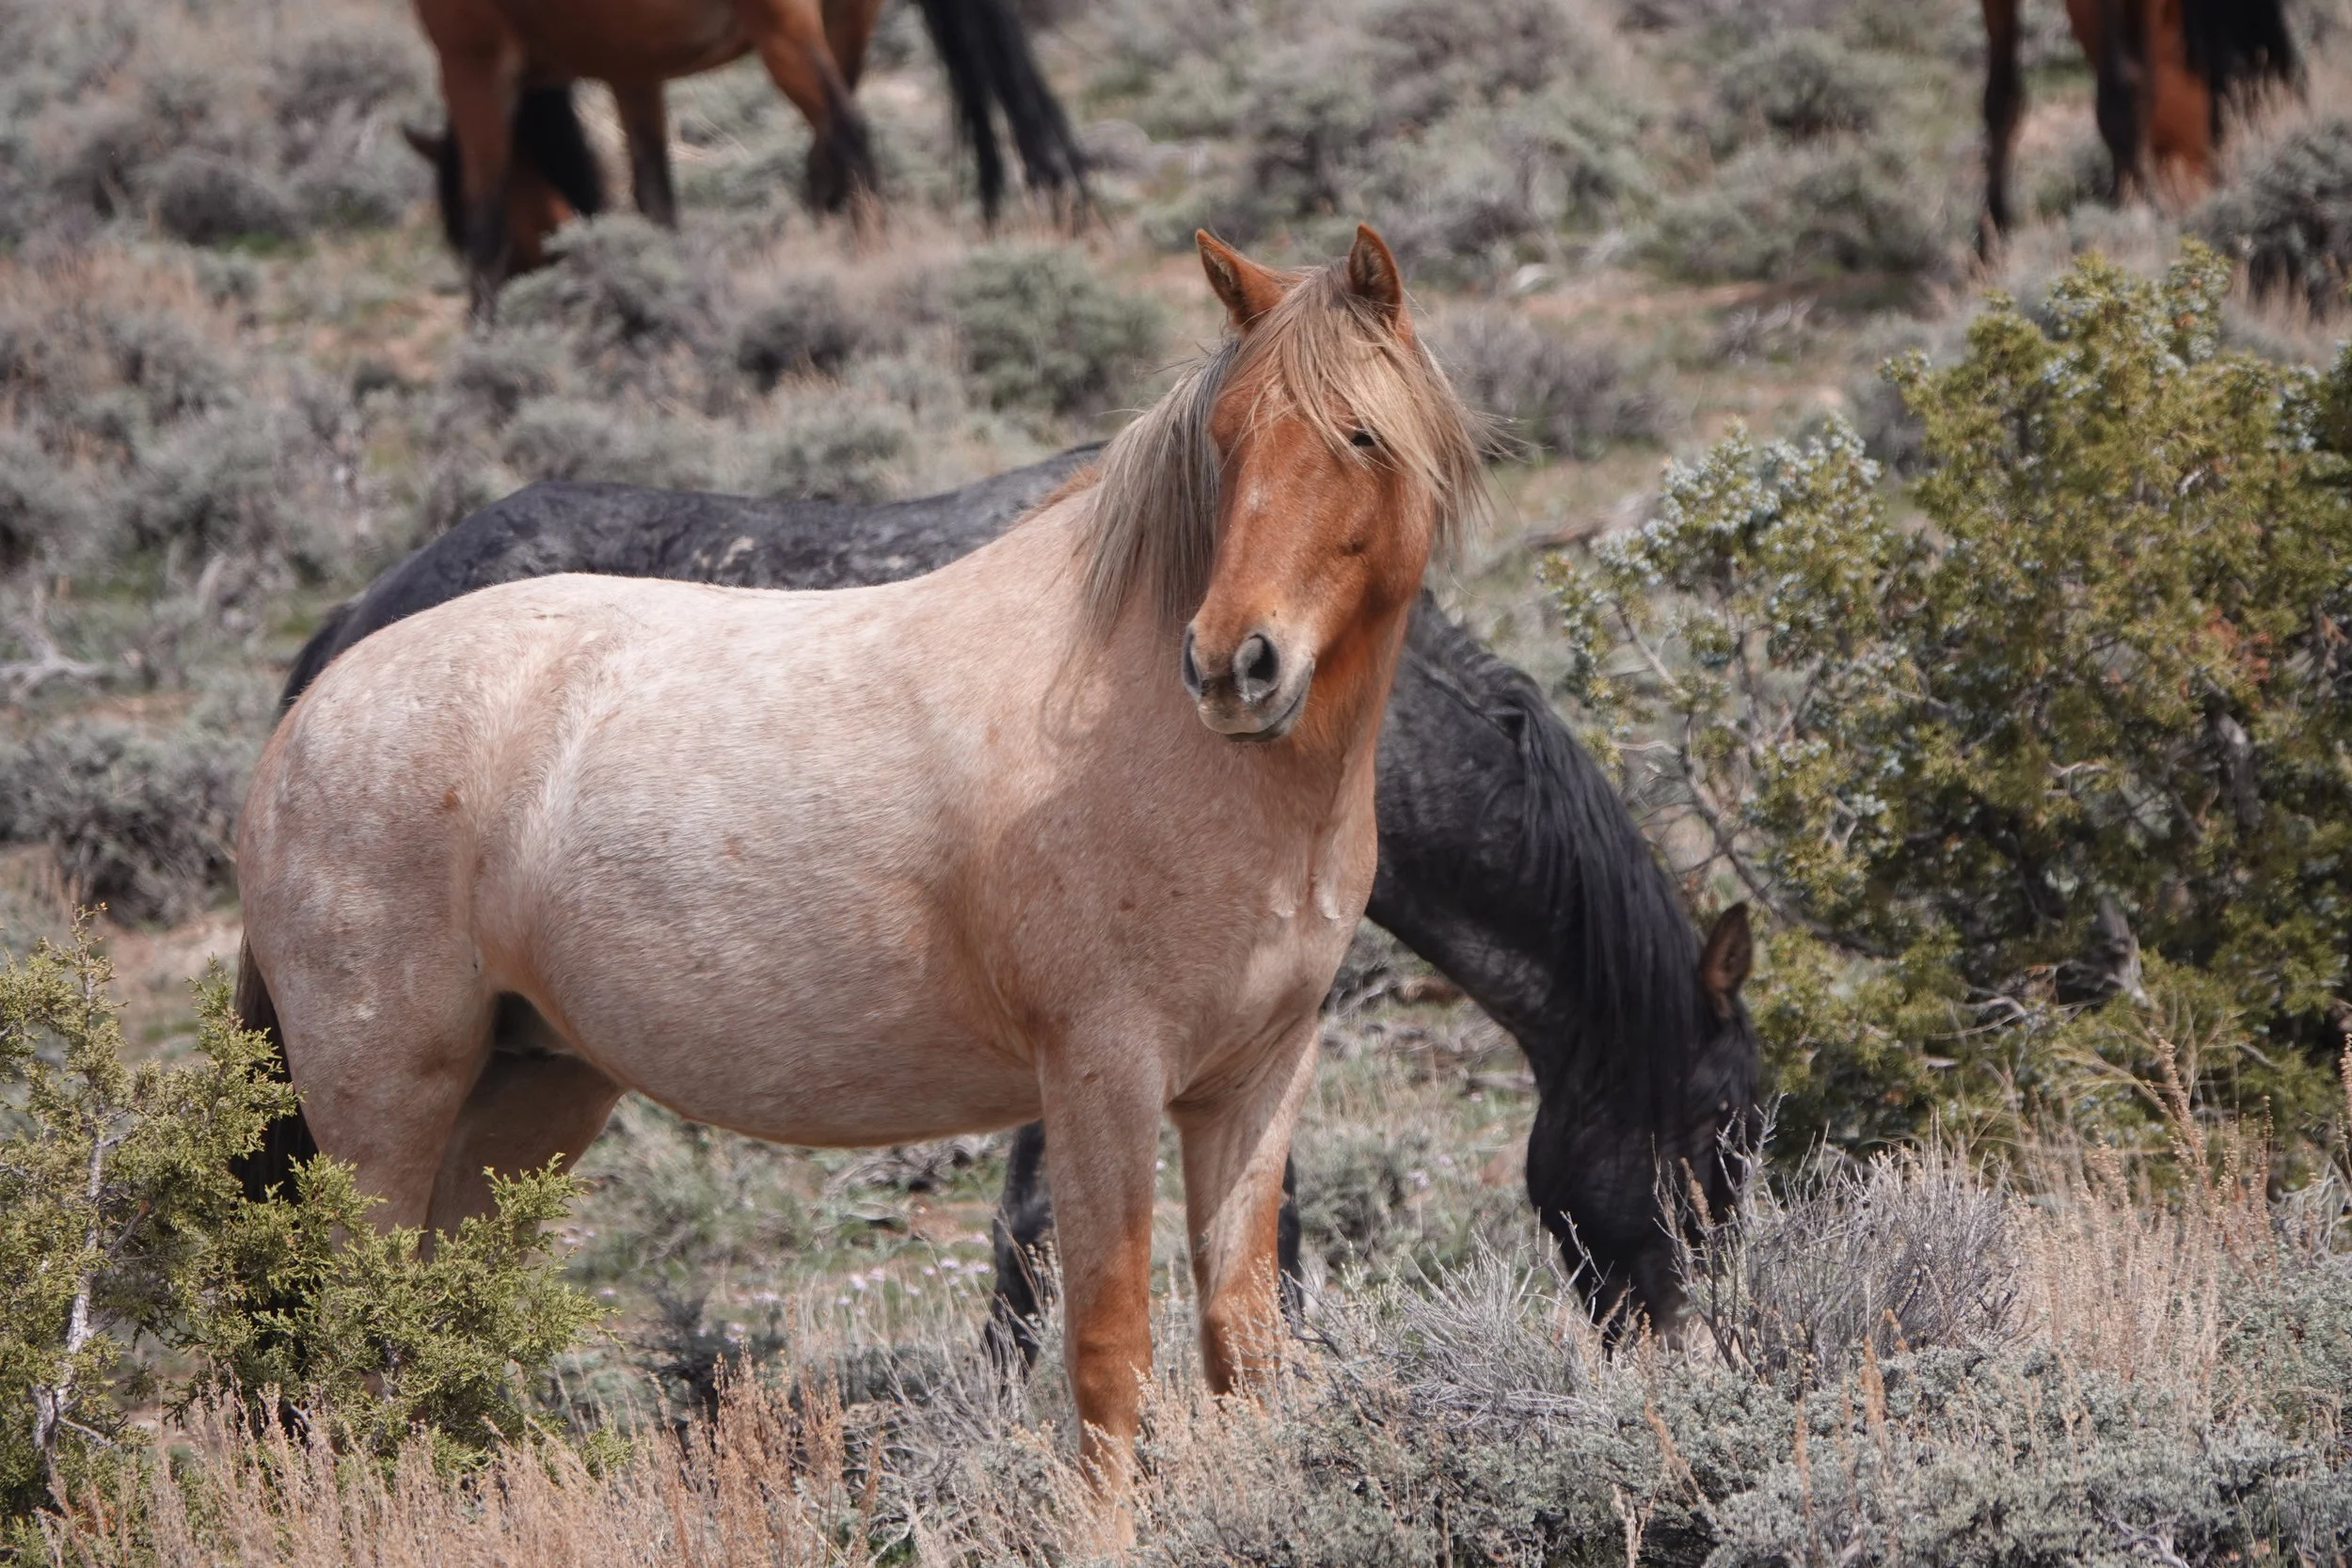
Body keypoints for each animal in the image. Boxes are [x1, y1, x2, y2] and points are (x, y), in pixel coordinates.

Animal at [232, 227, 1485, 1501]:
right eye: (1225, 438)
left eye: (1359, 435)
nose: (1235, 665)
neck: (1146, 732)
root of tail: (317, 699)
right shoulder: (1103, 1077)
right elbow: (1109, 1355)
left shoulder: (1254, 1081)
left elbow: (1244, 1343)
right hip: (382, 1102)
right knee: (360, 1341)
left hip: (528, 1093)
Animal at [409, 0, 1084, 316]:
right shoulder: (633, 69)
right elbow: (656, 201)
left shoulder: (470, 68)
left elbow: (487, 224)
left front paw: (481, 339)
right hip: (845, 24)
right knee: (828, 151)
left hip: (786, 34)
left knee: (848, 133)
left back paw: (868, 260)